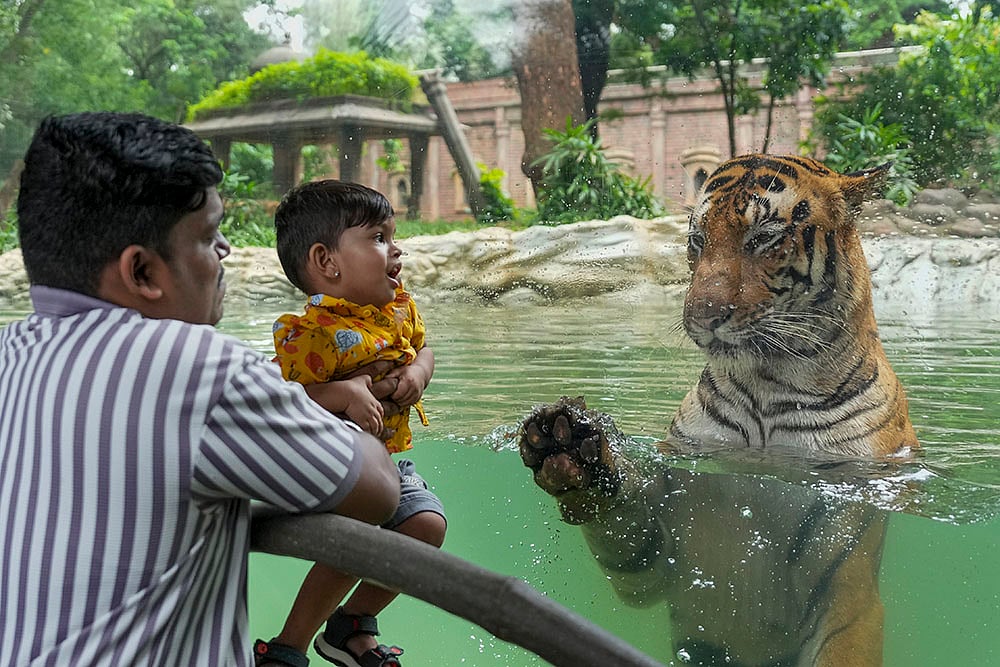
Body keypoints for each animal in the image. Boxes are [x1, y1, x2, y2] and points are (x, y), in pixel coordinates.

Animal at [518, 155, 914, 666]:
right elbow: (627, 526)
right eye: (697, 240)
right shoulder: (656, 559)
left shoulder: (849, 591)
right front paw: (566, 443)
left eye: (763, 237)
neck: (768, 385)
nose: (702, 317)